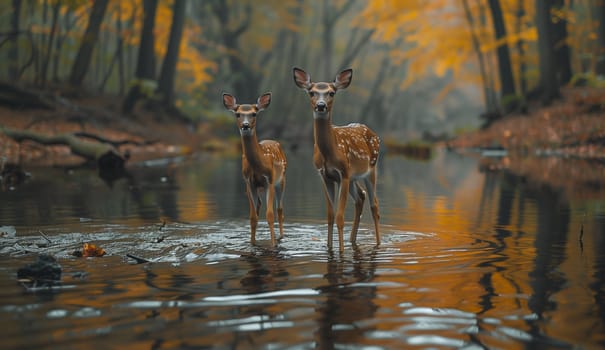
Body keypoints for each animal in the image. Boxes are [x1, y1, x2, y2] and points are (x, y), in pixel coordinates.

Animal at [223, 91, 286, 247]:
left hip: (281, 180)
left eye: (254, 113)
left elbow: (269, 215)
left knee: (279, 210)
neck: (259, 165)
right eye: (238, 114)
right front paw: (252, 243)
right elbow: (253, 218)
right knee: (258, 207)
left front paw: (273, 244)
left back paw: (281, 236)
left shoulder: (269, 179)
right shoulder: (249, 182)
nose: (245, 125)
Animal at [292, 66, 380, 252]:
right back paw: (352, 240)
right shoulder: (325, 175)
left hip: (370, 169)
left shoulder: (343, 173)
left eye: (331, 93)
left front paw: (340, 251)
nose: (321, 106)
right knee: (361, 197)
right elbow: (330, 216)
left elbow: (340, 217)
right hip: (354, 177)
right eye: (311, 92)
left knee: (374, 205)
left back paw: (378, 243)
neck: (329, 153)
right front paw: (329, 247)